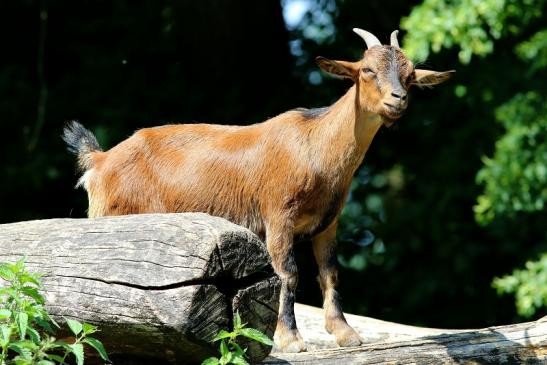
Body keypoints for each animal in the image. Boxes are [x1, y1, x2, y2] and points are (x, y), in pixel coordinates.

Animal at [63, 29, 454, 352]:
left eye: (410, 75)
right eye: (367, 71)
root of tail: (100, 160)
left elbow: (329, 272)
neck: (315, 146)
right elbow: (286, 274)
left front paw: (345, 333)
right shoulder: (278, 215)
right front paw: (289, 339)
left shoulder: (328, 223)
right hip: (109, 216)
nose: (397, 100)